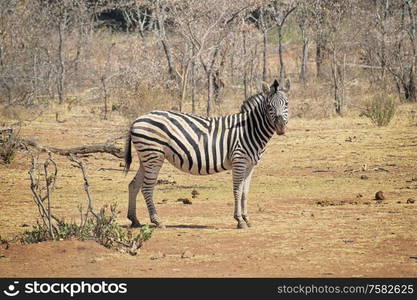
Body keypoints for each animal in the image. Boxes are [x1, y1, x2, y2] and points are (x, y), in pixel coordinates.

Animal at [123, 78, 290, 229]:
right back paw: (157, 221)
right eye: (269, 106)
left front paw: (247, 219)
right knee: (146, 188)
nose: (281, 127)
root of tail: (137, 120)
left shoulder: (250, 165)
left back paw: (134, 220)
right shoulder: (239, 161)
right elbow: (237, 190)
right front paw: (239, 220)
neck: (249, 129)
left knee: (133, 185)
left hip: (145, 157)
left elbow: (245, 192)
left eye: (287, 104)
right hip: (154, 155)